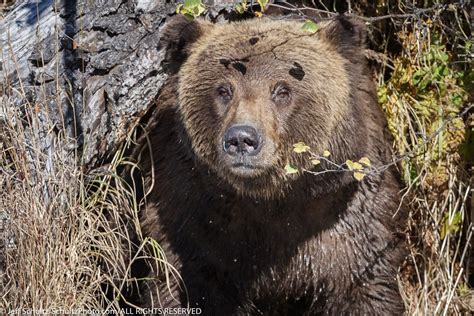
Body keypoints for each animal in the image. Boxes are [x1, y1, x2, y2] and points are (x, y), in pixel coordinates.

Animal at [131, 14, 406, 316]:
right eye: (224, 89)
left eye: (282, 90)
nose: (242, 139)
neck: (271, 201)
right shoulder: (193, 216)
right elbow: (183, 286)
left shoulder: (347, 217)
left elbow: (366, 288)